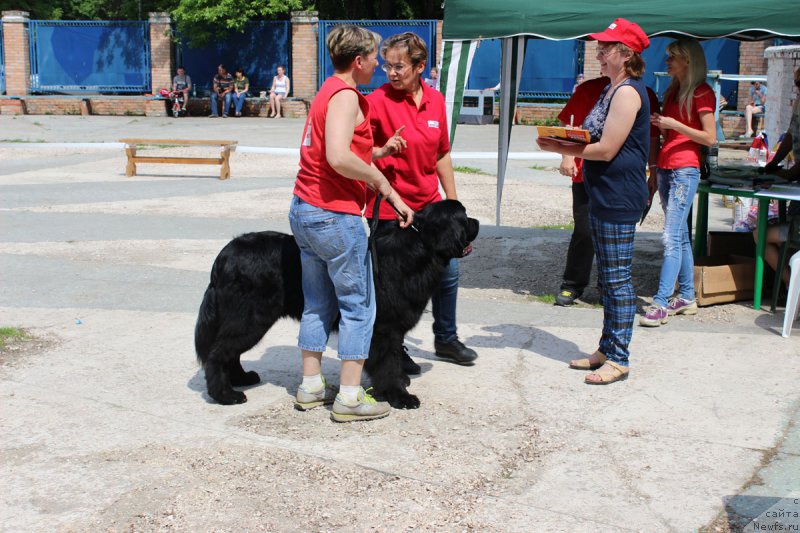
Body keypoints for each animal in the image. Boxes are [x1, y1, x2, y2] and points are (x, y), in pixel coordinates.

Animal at [196, 200, 478, 408]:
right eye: (464, 216)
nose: (476, 222)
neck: (419, 248)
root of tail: (225, 255)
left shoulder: (393, 328)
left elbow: (395, 358)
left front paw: (401, 381)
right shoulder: (383, 329)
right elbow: (387, 363)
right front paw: (398, 395)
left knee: (229, 351)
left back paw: (240, 379)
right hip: (251, 317)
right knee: (217, 353)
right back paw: (224, 394)